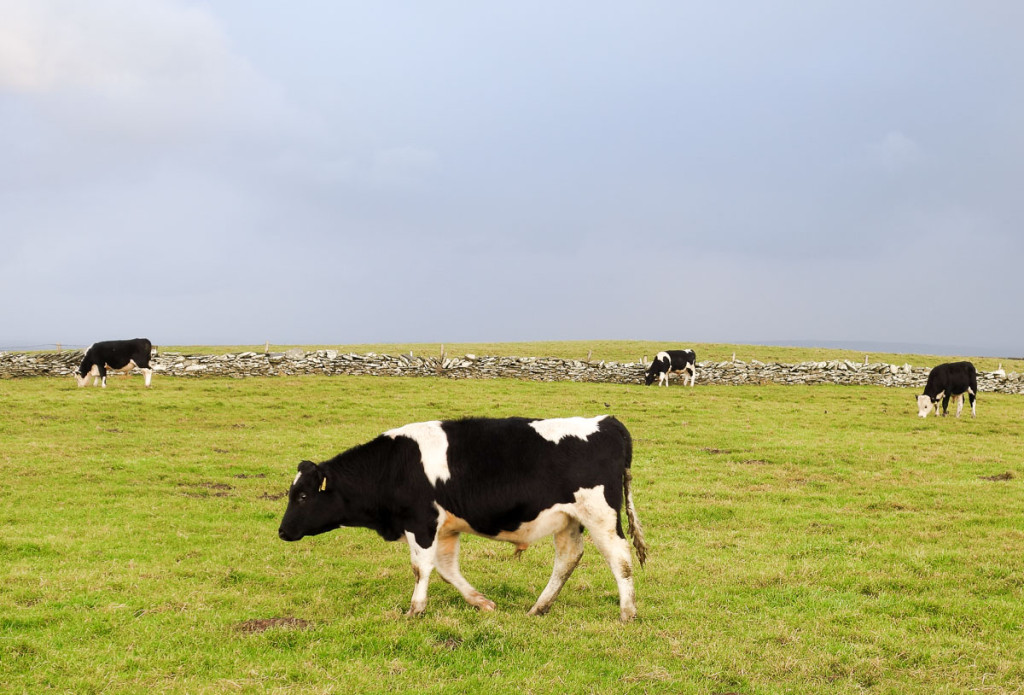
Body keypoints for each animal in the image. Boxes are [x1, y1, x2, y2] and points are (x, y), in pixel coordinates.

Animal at [278, 415, 647, 622]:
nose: (282, 531)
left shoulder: (421, 522)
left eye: (303, 496)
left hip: (600, 514)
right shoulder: (445, 529)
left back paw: (627, 613)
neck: (393, 465)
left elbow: (421, 568)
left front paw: (414, 611)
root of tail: (606, 421)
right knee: (568, 558)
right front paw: (482, 603)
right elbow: (446, 569)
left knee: (620, 559)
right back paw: (539, 609)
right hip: (568, 520)